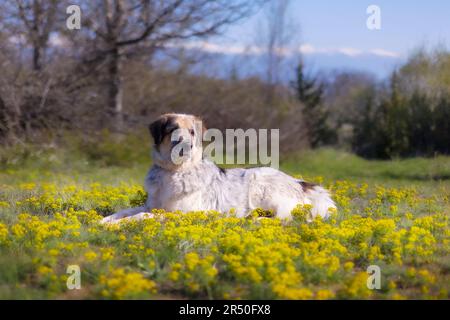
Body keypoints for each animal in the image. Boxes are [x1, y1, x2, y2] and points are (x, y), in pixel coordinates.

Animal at [100, 114, 336, 224]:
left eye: (192, 132)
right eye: (172, 129)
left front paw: (119, 224)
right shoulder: (152, 205)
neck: (173, 171)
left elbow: (142, 216)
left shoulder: (182, 213)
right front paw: (105, 221)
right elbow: (125, 211)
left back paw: (257, 220)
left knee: (285, 218)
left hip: (261, 183)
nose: (186, 145)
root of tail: (300, 183)